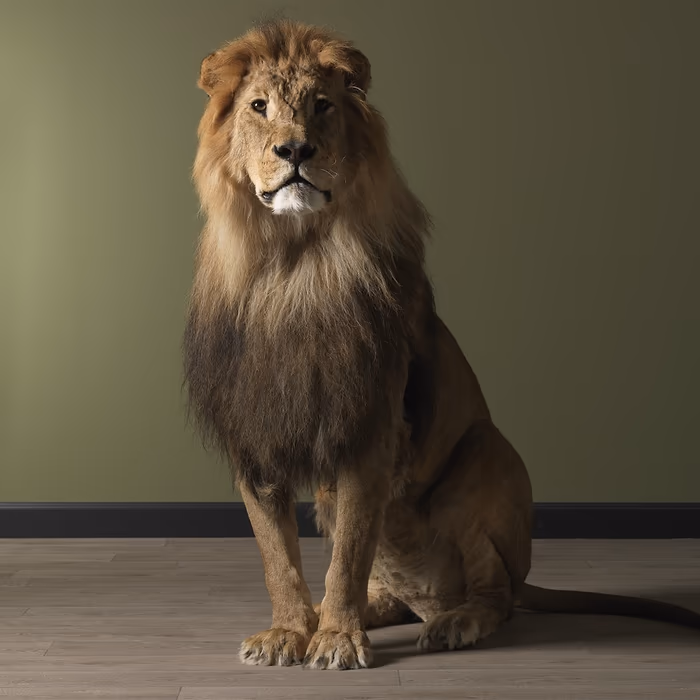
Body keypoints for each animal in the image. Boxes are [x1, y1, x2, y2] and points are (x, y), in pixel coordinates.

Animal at [183, 19, 700, 670]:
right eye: (259, 107)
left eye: (322, 106)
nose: (295, 151)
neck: (292, 265)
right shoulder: (254, 436)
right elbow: (280, 557)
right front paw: (290, 632)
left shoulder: (372, 427)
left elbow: (348, 554)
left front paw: (336, 641)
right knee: (388, 589)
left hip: (484, 457)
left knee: (496, 595)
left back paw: (453, 622)